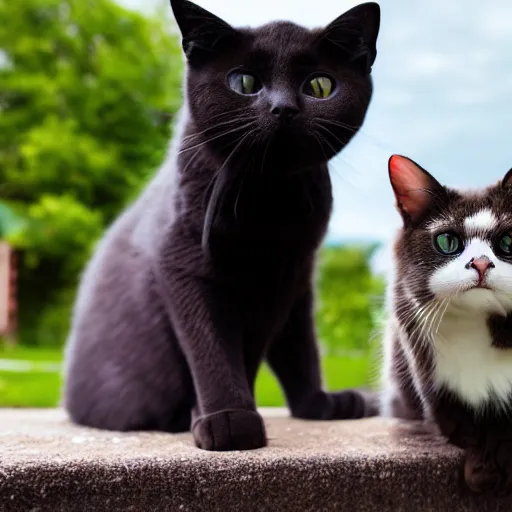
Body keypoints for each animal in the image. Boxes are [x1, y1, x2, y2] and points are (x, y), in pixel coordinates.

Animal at [62, 0, 380, 448]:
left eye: (319, 86)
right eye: (244, 81)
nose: (284, 108)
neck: (270, 205)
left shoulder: (292, 276)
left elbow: (295, 348)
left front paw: (317, 405)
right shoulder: (183, 262)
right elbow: (212, 344)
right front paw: (228, 419)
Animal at [382, 153, 512, 496]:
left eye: (509, 240)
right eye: (447, 241)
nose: (481, 263)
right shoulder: (435, 383)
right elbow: (461, 428)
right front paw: (481, 470)